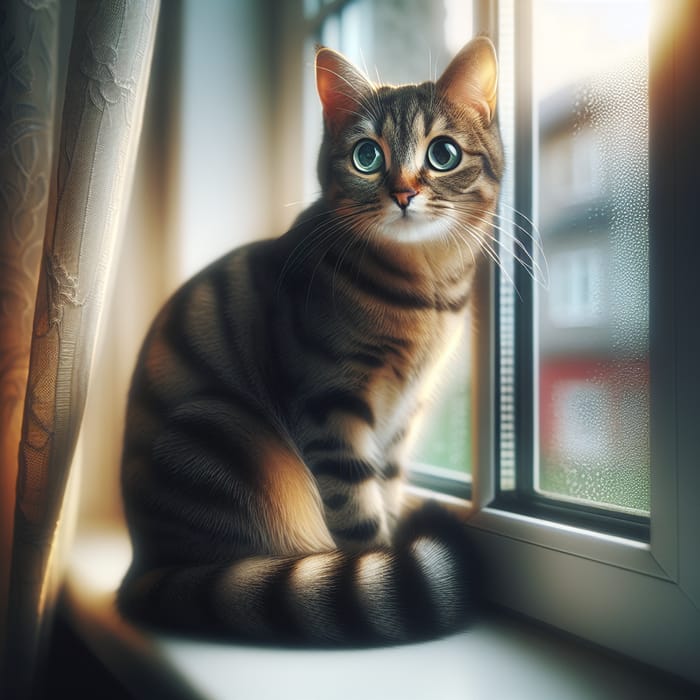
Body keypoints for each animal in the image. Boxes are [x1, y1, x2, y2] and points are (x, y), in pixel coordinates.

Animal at [119, 35, 504, 644]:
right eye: (367, 156)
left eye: (442, 154)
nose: (403, 193)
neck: (424, 293)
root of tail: (143, 567)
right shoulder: (330, 408)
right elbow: (360, 515)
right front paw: (378, 566)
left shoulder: (401, 419)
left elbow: (386, 489)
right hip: (220, 428)